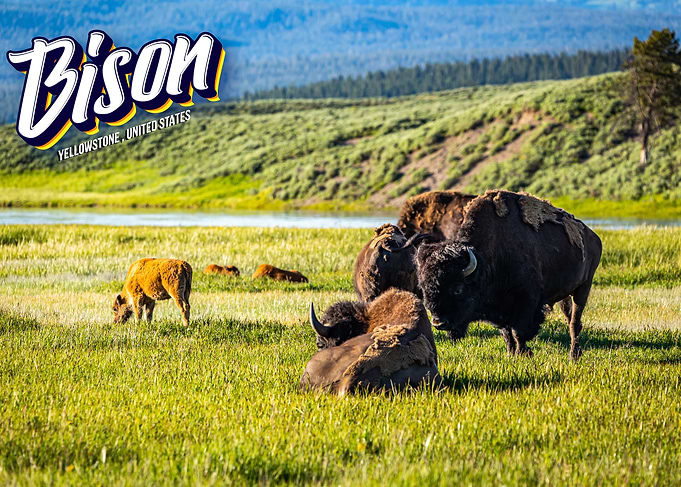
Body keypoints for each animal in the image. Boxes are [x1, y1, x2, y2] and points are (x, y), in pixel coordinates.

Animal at [416, 190, 602, 361]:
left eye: (457, 289)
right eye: (424, 288)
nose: (439, 323)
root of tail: (593, 236)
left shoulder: (526, 302)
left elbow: (518, 331)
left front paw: (523, 353)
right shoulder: (500, 307)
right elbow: (506, 332)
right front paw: (510, 353)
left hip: (584, 287)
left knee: (575, 322)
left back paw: (574, 355)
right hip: (564, 294)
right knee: (569, 317)